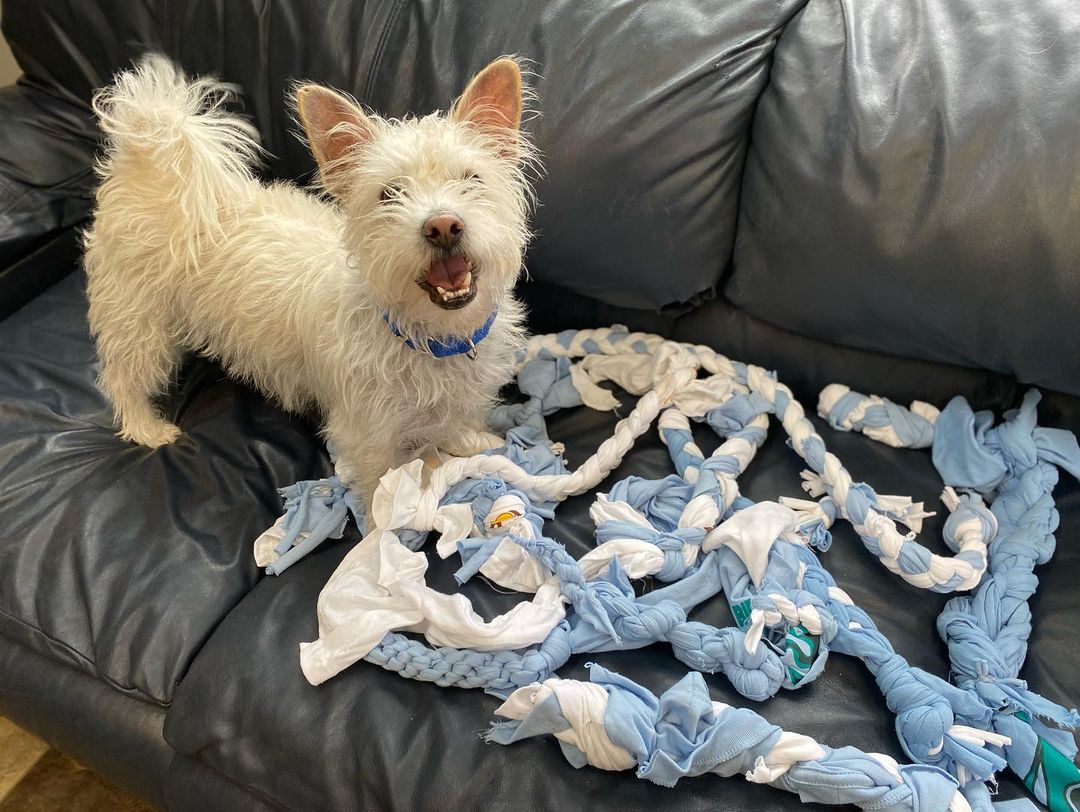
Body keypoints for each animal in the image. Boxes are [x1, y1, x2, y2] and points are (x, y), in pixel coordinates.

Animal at [83, 53, 535, 507]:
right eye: (389, 195)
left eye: (471, 180)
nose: (442, 226)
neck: (431, 336)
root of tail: (147, 166)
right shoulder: (366, 437)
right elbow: (379, 488)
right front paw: (385, 522)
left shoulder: (461, 393)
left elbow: (457, 421)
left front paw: (476, 441)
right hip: (139, 322)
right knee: (121, 378)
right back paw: (147, 428)